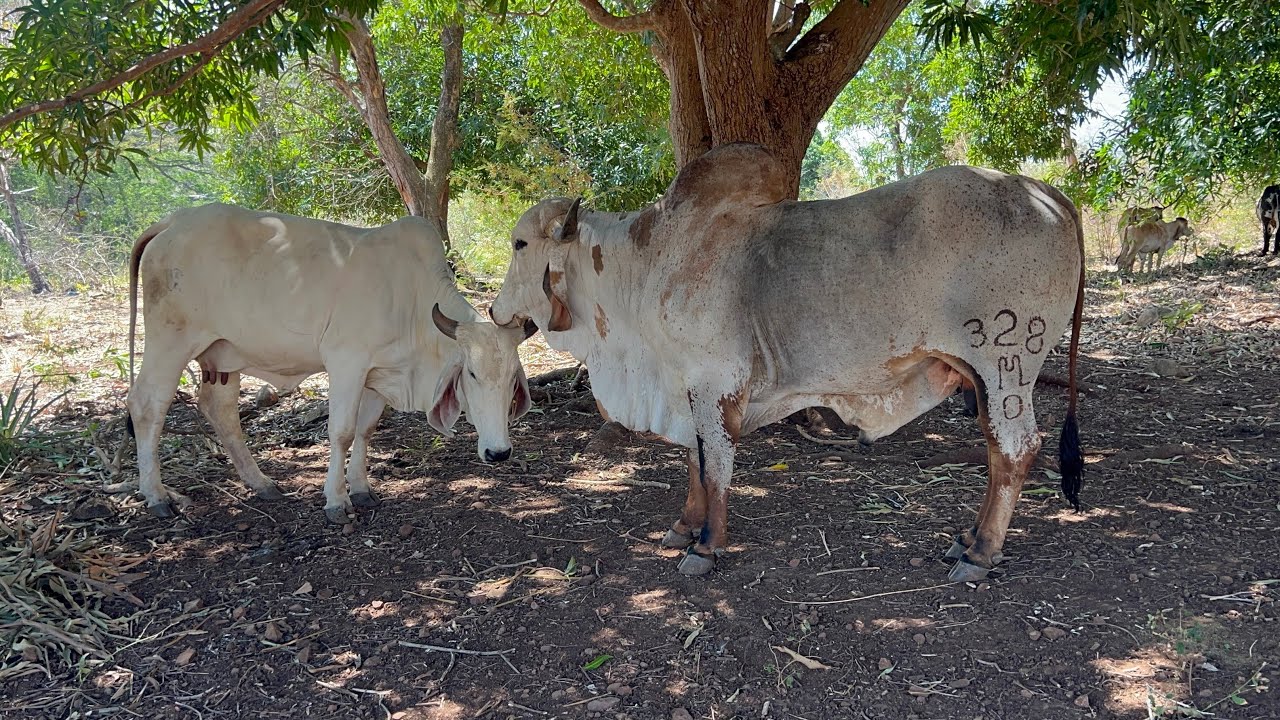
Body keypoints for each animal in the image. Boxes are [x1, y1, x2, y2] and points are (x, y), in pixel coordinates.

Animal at [127, 204, 536, 523]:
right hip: (171, 340)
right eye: (472, 373)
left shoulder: (378, 374)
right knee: (147, 405)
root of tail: (171, 221)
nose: (499, 452)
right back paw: (157, 496)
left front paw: (362, 489)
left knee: (220, 410)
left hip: (223, 355)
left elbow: (365, 430)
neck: (411, 299)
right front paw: (336, 500)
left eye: (512, 379)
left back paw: (261, 483)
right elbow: (341, 432)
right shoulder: (347, 363)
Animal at [489, 143, 1084, 581]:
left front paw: (706, 547)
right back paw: (969, 538)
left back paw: (980, 554)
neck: (646, 265)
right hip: (985, 378)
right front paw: (683, 527)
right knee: (997, 450)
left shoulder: (716, 382)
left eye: (519, 244)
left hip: (1006, 364)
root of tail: (1050, 193)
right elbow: (693, 462)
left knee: (1014, 449)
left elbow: (715, 464)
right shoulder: (687, 388)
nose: (494, 310)